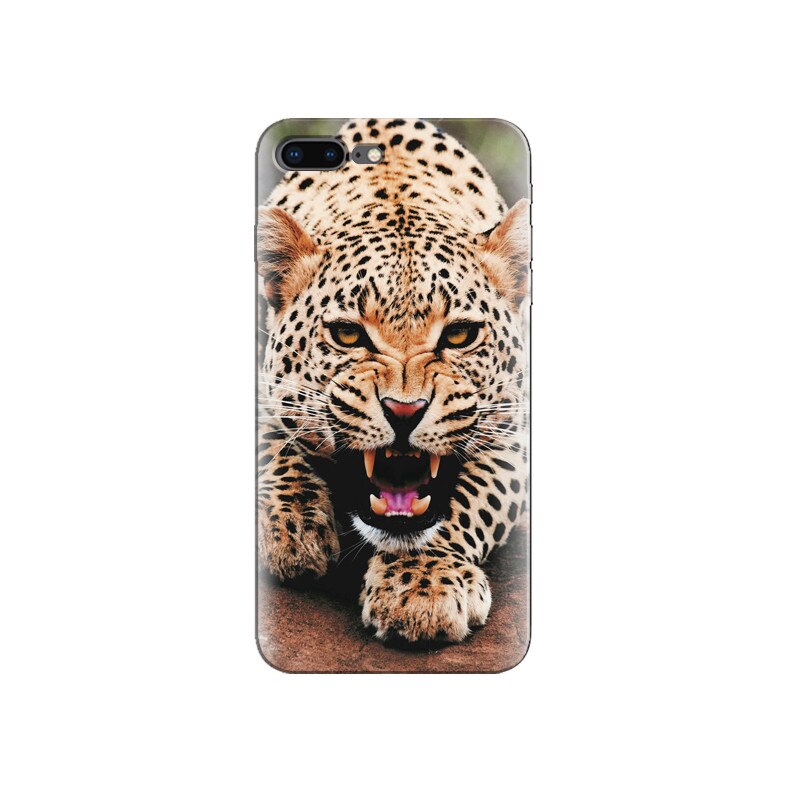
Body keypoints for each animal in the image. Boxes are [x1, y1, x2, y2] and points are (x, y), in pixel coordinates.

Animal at [257, 118, 529, 643]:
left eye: (460, 335)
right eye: (347, 334)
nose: (405, 411)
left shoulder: (516, 431)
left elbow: (472, 498)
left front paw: (423, 585)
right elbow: (270, 446)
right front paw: (291, 527)